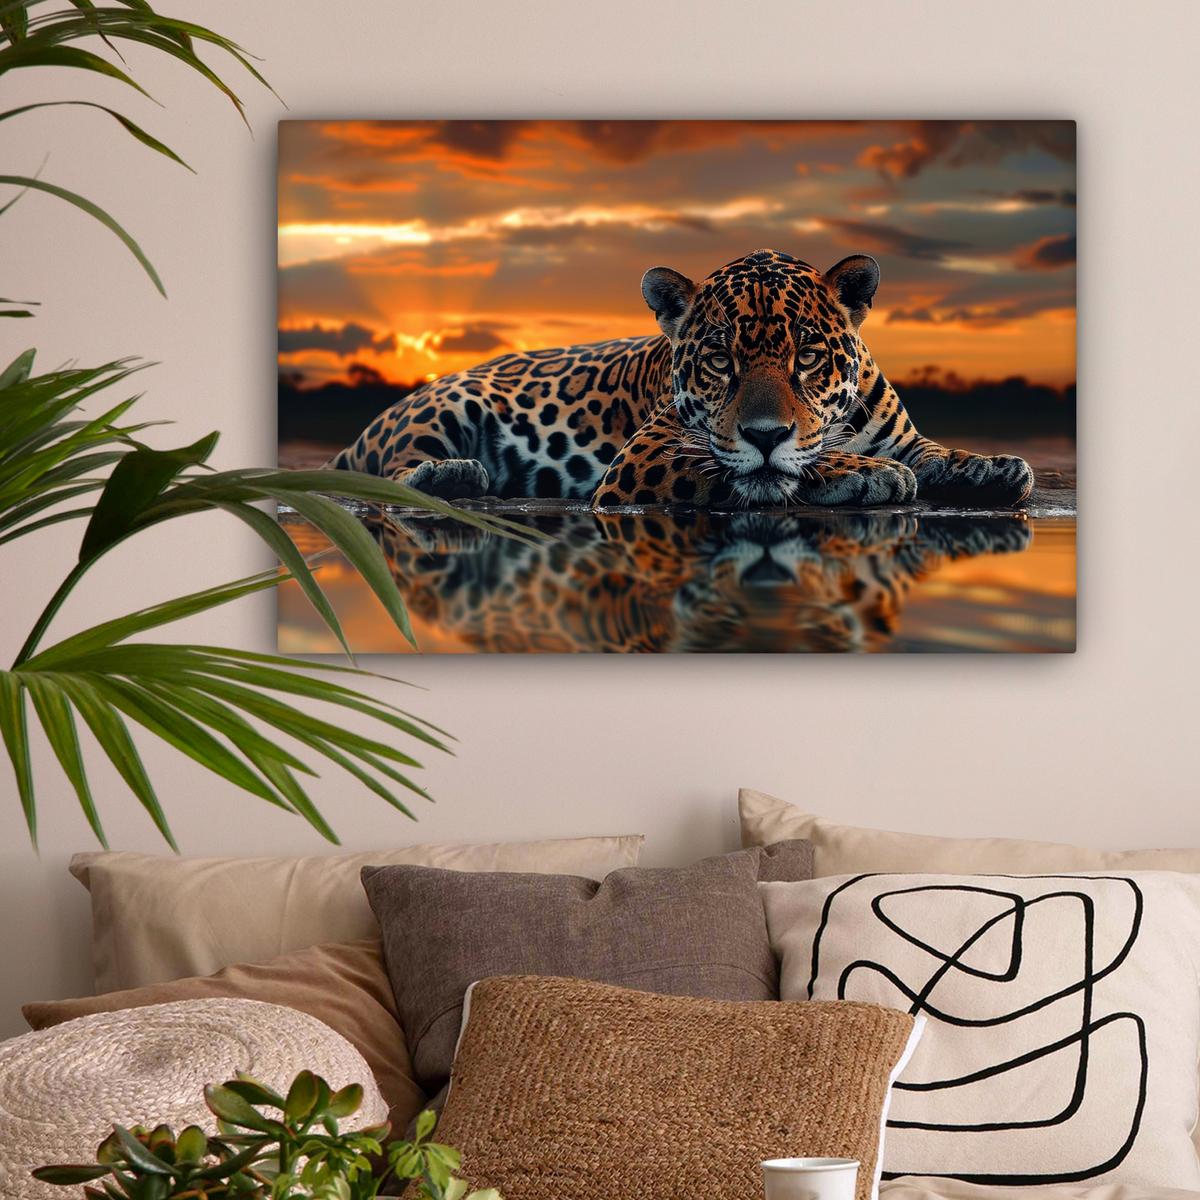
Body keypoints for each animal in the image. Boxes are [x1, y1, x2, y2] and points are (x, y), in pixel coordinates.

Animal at [326, 249, 1034, 510]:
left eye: (807, 355)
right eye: (720, 360)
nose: (765, 433)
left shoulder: (904, 437)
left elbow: (938, 453)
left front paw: (994, 467)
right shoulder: (646, 456)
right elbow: (765, 470)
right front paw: (863, 474)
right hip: (446, 406)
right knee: (388, 473)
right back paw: (452, 476)